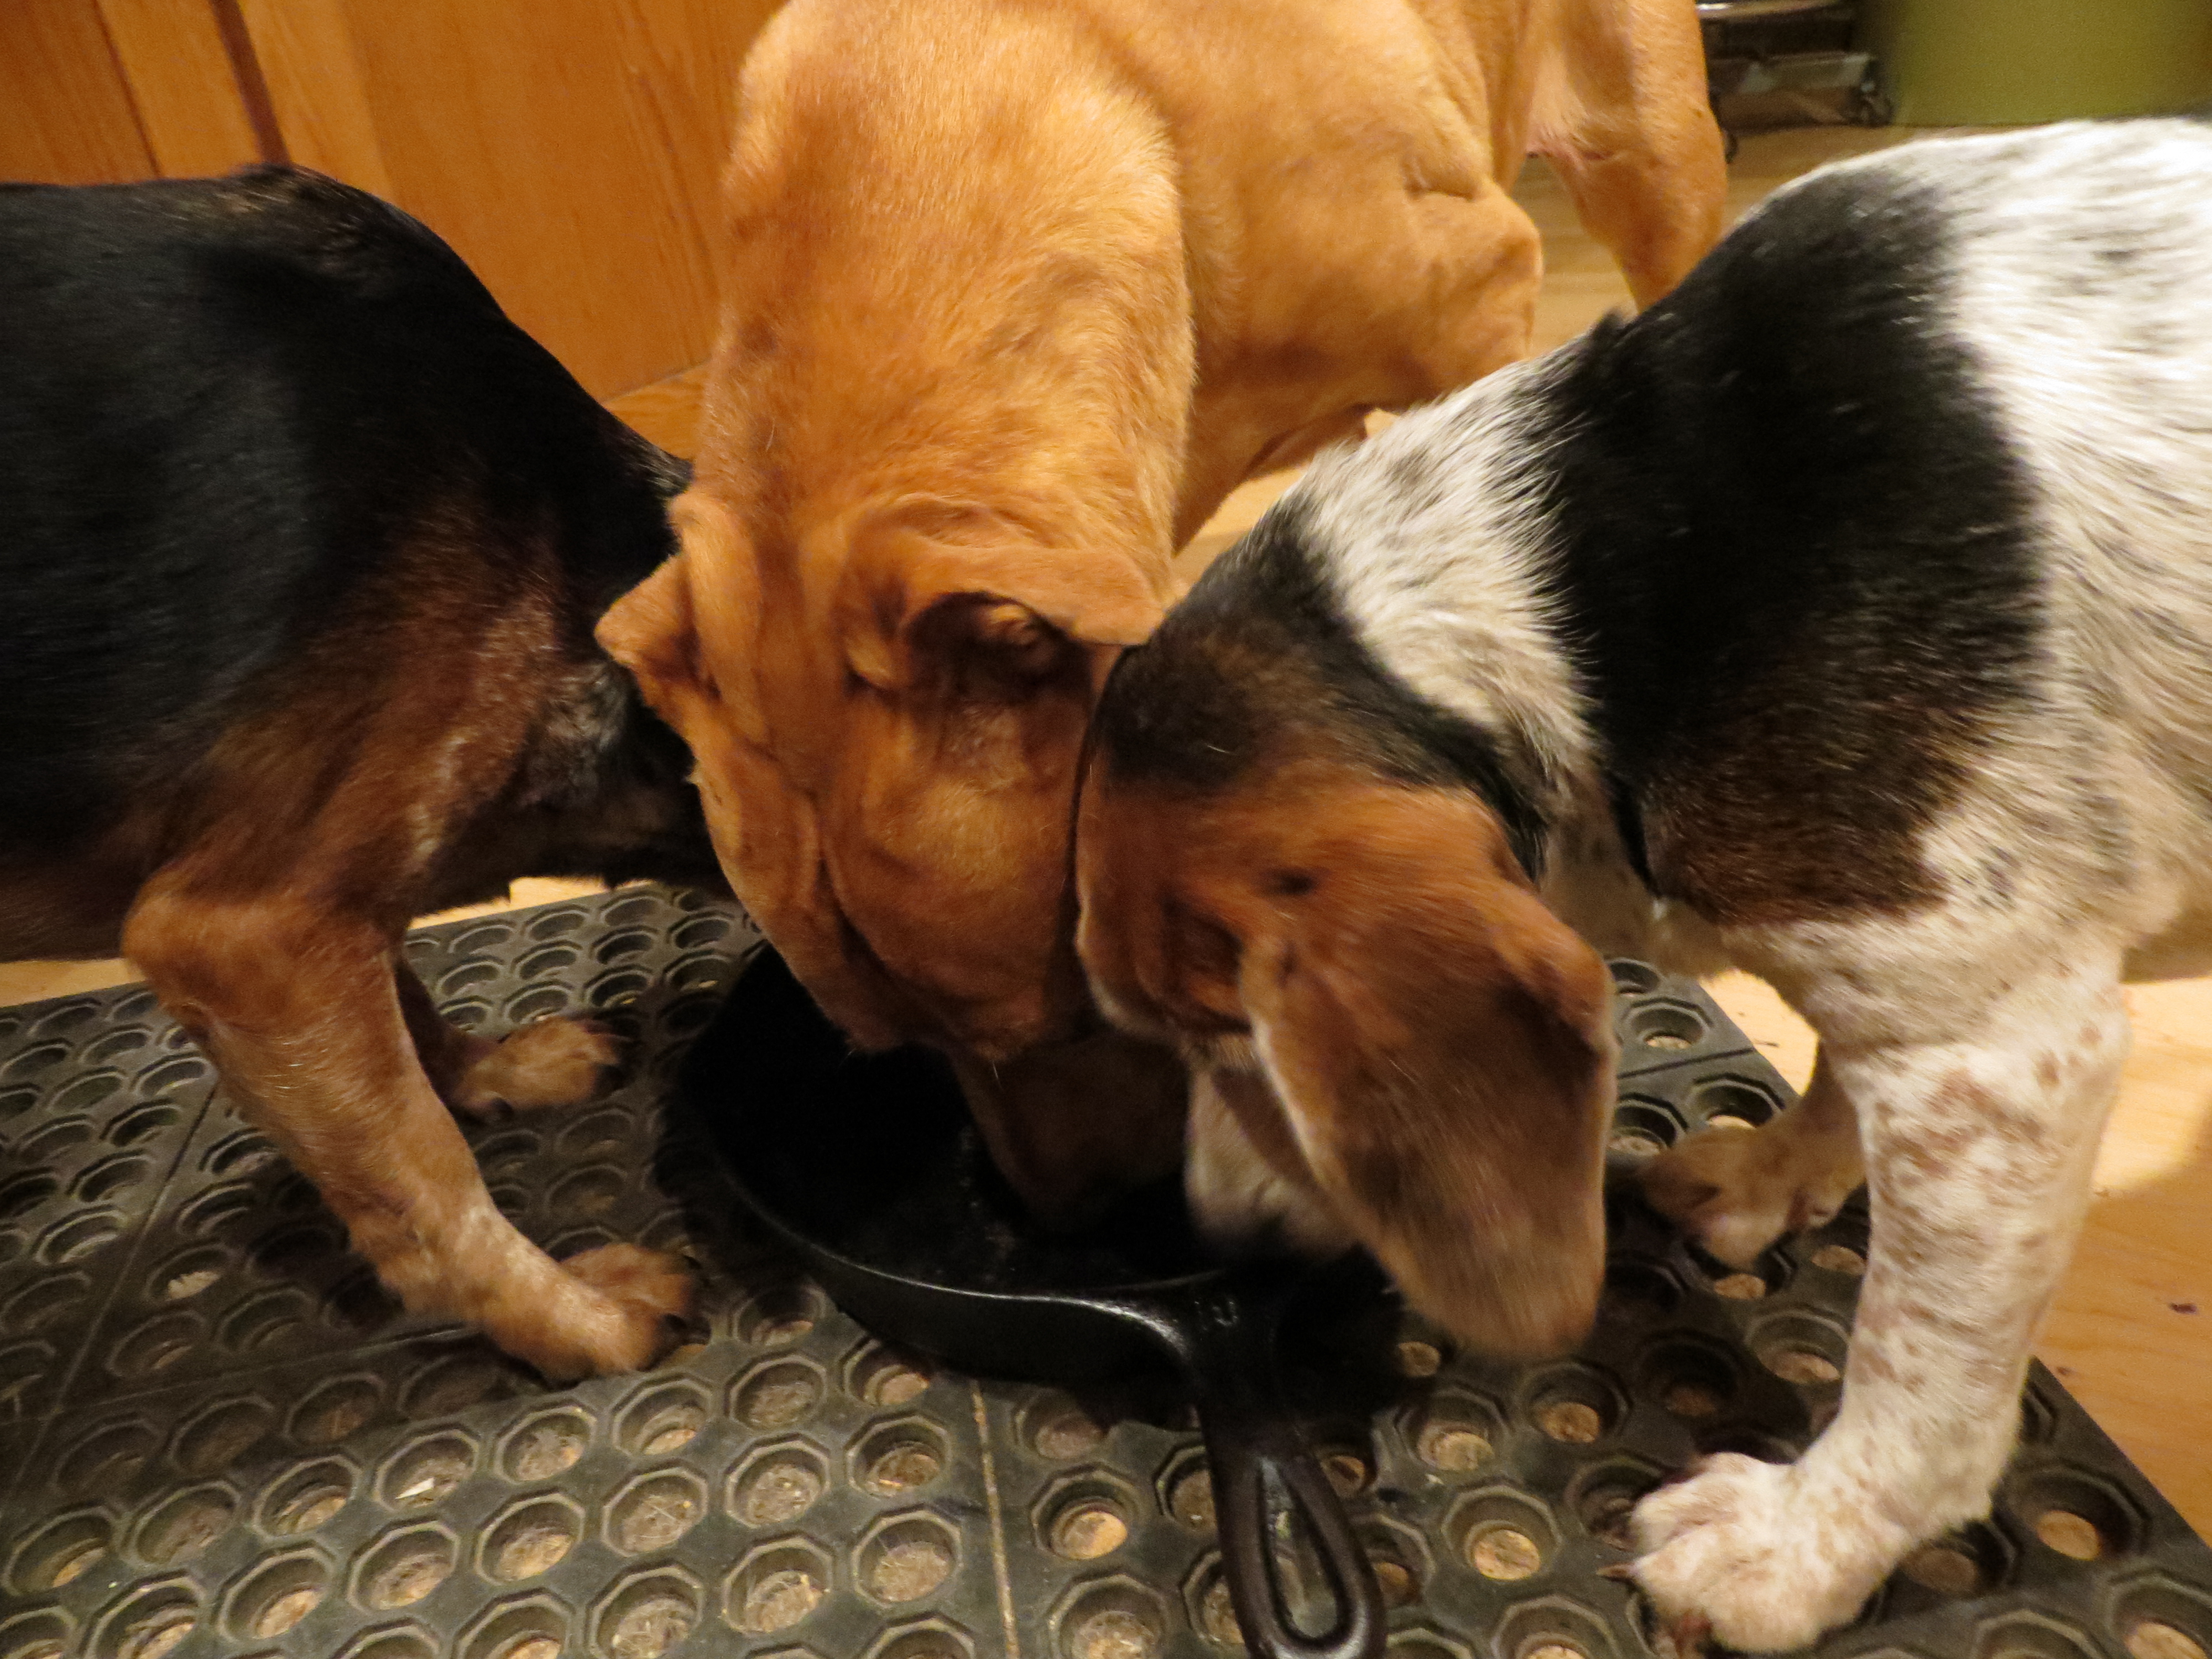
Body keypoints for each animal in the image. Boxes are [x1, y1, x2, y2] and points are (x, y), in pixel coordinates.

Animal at [0, 166, 724, 1380]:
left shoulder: (339, 900)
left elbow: (409, 1013)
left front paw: (492, 1071)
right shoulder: (249, 936)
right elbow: (427, 1186)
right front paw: (572, 1317)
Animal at [1073, 120, 2212, 1649]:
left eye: (1232, 1041)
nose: (1221, 1237)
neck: (1584, 586)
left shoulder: (1995, 1056)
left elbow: (1916, 1383)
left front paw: (1797, 1550)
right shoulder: (1900, 978)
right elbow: (1832, 1072)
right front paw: (1775, 1173)